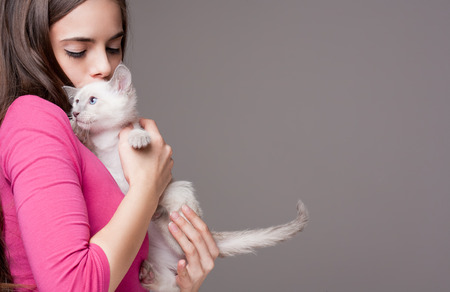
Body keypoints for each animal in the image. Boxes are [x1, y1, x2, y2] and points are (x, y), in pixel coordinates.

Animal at [64, 64, 310, 292]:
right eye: (76, 102)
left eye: (93, 101)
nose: (75, 113)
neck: (105, 138)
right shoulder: (98, 154)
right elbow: (90, 146)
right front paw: (75, 128)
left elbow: (134, 129)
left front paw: (138, 139)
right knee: (169, 284)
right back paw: (148, 274)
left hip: (179, 190)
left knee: (181, 246)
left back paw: (161, 216)